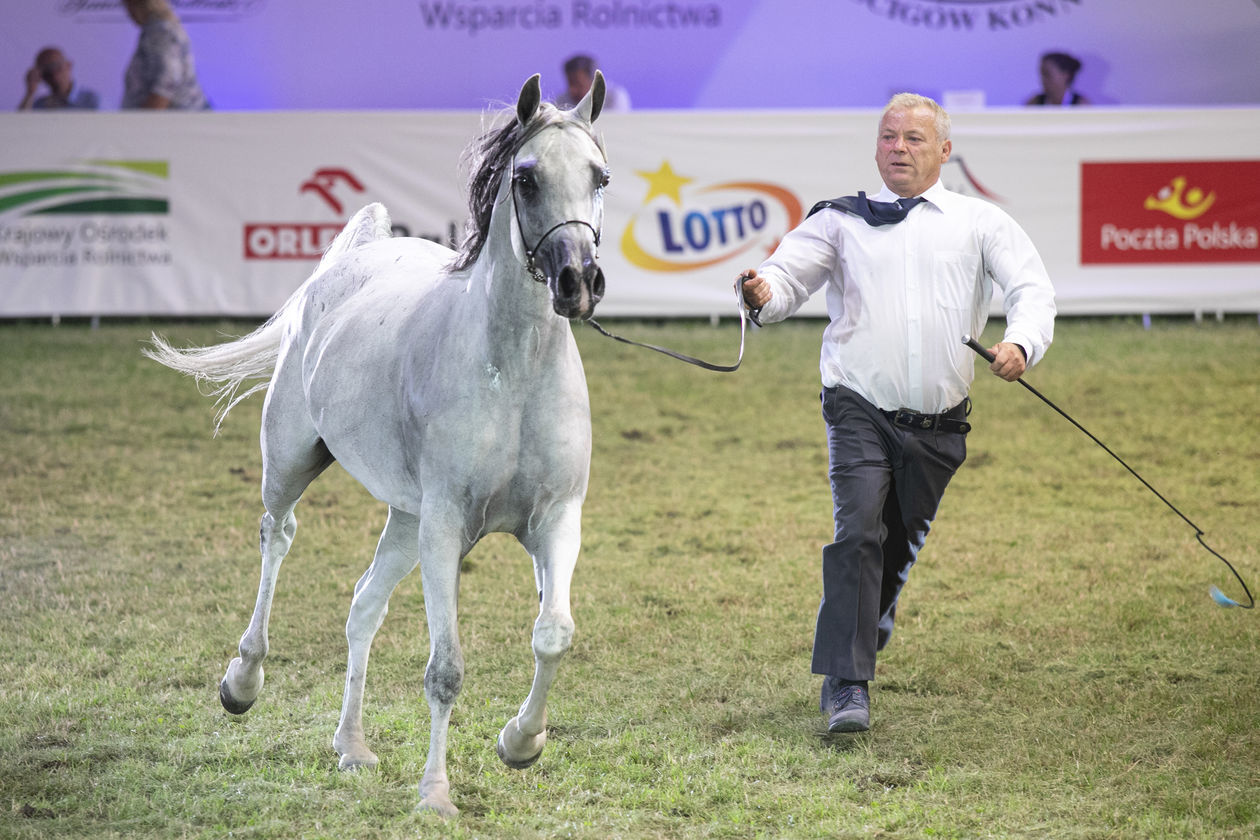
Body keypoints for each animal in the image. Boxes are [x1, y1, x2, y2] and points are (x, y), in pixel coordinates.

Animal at [147, 75, 609, 816]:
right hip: (295, 464)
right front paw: (436, 795)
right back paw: (242, 682)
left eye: (600, 176)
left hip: (405, 520)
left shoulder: (555, 521)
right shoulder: (446, 528)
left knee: (363, 604)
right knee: (277, 538)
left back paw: (352, 747)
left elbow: (554, 634)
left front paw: (520, 743)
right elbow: (446, 669)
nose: (579, 282)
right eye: (527, 178)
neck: (510, 373)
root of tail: (354, 256)